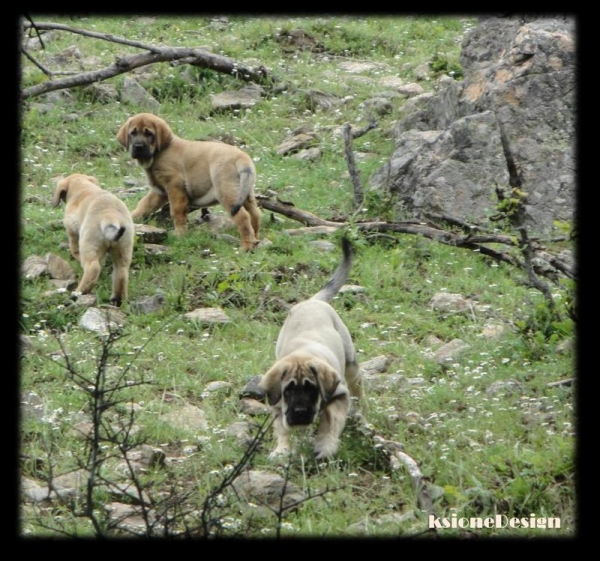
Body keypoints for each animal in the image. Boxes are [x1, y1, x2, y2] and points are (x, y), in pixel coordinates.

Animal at [52, 174, 134, 306]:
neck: (81, 187)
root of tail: (110, 215)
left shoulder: (72, 230)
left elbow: (74, 249)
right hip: (123, 249)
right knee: (121, 274)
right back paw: (117, 299)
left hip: (89, 245)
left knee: (93, 269)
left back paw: (78, 293)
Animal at [116, 112, 262, 248]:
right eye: (133, 133)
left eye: (149, 134)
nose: (138, 146)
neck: (159, 153)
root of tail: (243, 158)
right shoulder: (159, 192)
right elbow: (144, 206)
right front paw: (132, 217)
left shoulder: (175, 187)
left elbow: (176, 212)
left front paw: (180, 234)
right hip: (245, 192)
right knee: (255, 213)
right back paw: (255, 239)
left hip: (227, 192)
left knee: (243, 217)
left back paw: (247, 245)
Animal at [256, 236, 360, 460]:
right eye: (288, 390)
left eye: (312, 388)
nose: (300, 412)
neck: (302, 355)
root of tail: (312, 301)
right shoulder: (278, 405)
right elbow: (282, 428)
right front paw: (282, 449)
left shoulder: (339, 395)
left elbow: (330, 421)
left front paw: (325, 445)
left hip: (351, 364)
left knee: (358, 391)